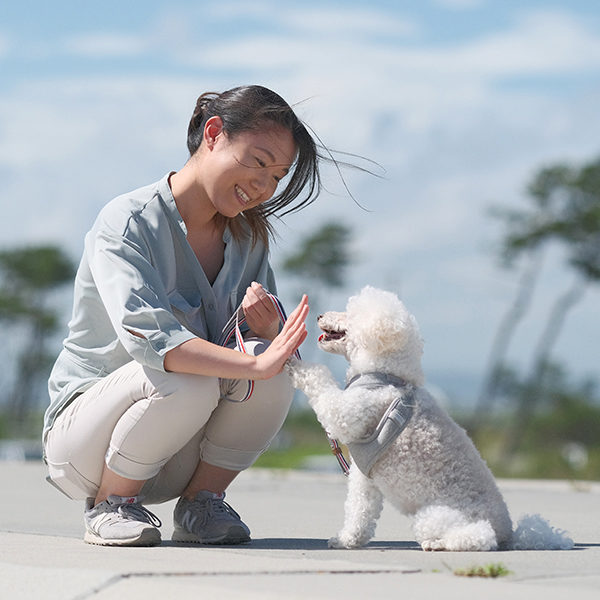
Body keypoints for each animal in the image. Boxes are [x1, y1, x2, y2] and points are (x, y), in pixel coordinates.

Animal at [288, 288, 576, 552]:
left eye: (350, 313)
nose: (319, 315)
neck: (384, 372)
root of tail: (510, 534)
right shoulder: (364, 477)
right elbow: (360, 511)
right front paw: (349, 540)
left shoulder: (352, 412)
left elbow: (321, 384)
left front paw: (293, 361)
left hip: (433, 516)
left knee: (479, 537)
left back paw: (438, 544)